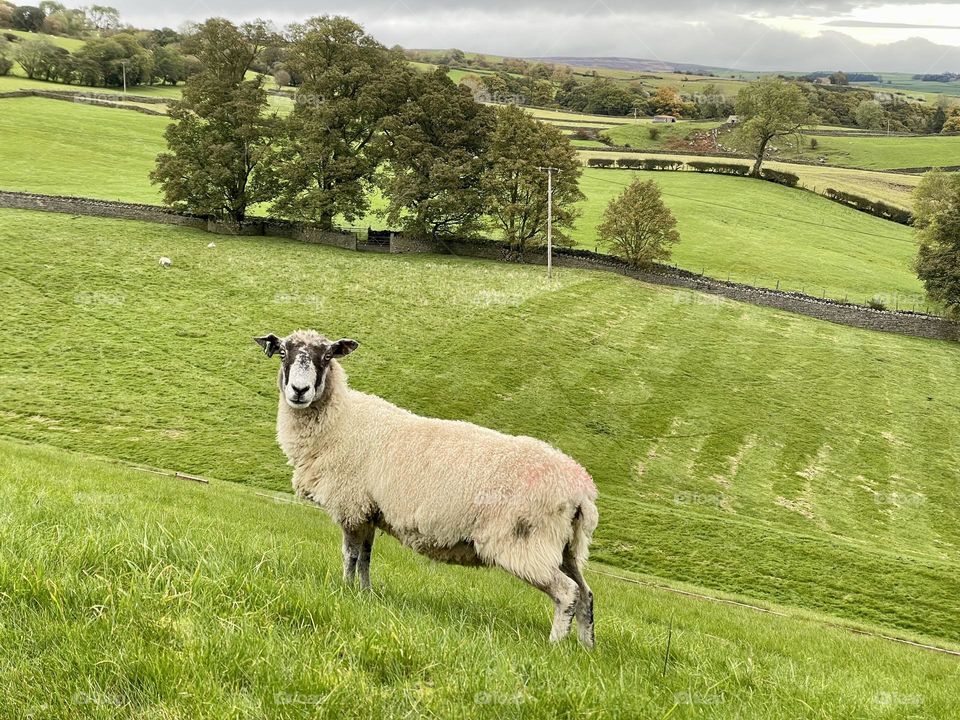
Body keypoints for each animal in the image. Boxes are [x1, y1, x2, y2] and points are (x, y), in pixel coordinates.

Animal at [255, 328, 600, 648]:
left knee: (567, 592)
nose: (299, 390)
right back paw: (586, 649)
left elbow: (350, 555)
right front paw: (364, 594)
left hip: (525, 541)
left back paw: (555, 645)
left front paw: (344, 589)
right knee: (586, 594)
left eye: (327, 356)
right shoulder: (368, 511)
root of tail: (581, 488)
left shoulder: (350, 505)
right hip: (564, 547)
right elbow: (366, 557)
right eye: (283, 352)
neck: (341, 420)